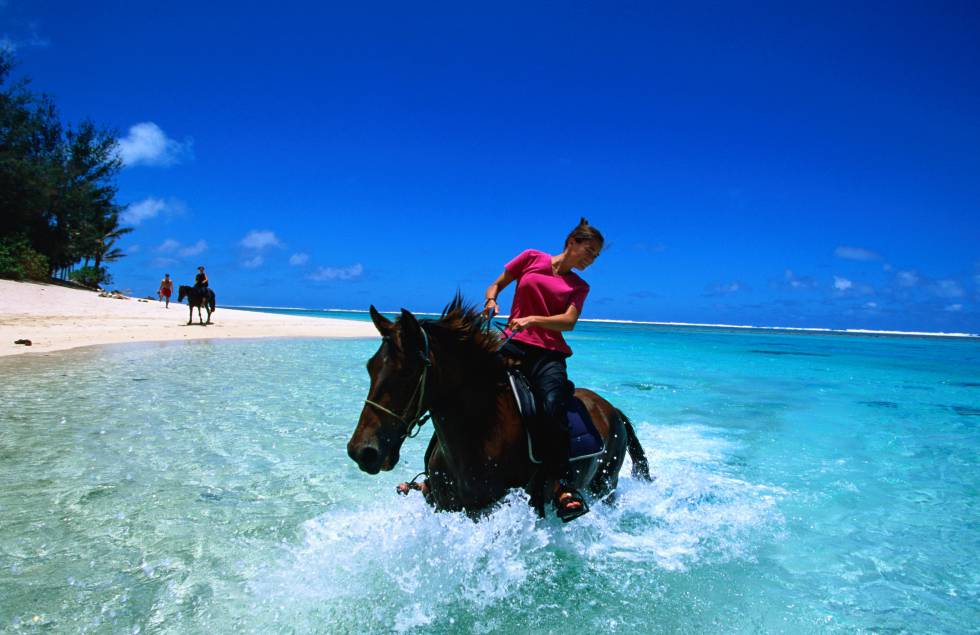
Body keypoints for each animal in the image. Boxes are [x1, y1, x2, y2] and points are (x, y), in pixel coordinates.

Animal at [347, 296, 651, 518]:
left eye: (407, 373)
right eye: (370, 367)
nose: (362, 452)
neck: (482, 434)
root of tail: (613, 410)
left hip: (606, 485)